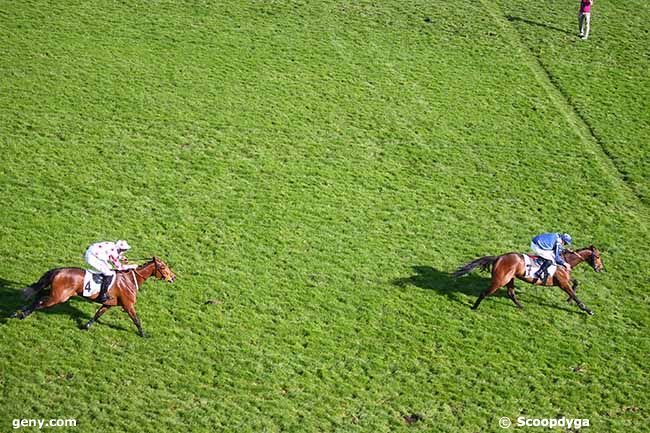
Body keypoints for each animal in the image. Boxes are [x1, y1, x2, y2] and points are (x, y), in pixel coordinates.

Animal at [12, 255, 175, 336]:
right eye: (162, 267)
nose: (173, 277)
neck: (129, 279)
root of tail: (59, 270)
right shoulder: (128, 305)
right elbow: (136, 320)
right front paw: (143, 334)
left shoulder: (109, 304)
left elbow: (98, 314)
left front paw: (86, 326)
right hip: (59, 297)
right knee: (40, 302)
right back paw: (23, 314)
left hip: (55, 292)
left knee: (39, 295)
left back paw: (18, 312)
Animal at [454, 246, 600, 314]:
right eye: (598, 256)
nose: (600, 268)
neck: (564, 261)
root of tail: (498, 257)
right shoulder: (562, 283)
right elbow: (575, 295)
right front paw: (587, 310)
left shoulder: (564, 280)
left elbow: (575, 283)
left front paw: (569, 300)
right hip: (500, 280)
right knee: (485, 293)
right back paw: (474, 307)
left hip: (510, 279)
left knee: (511, 293)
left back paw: (521, 306)